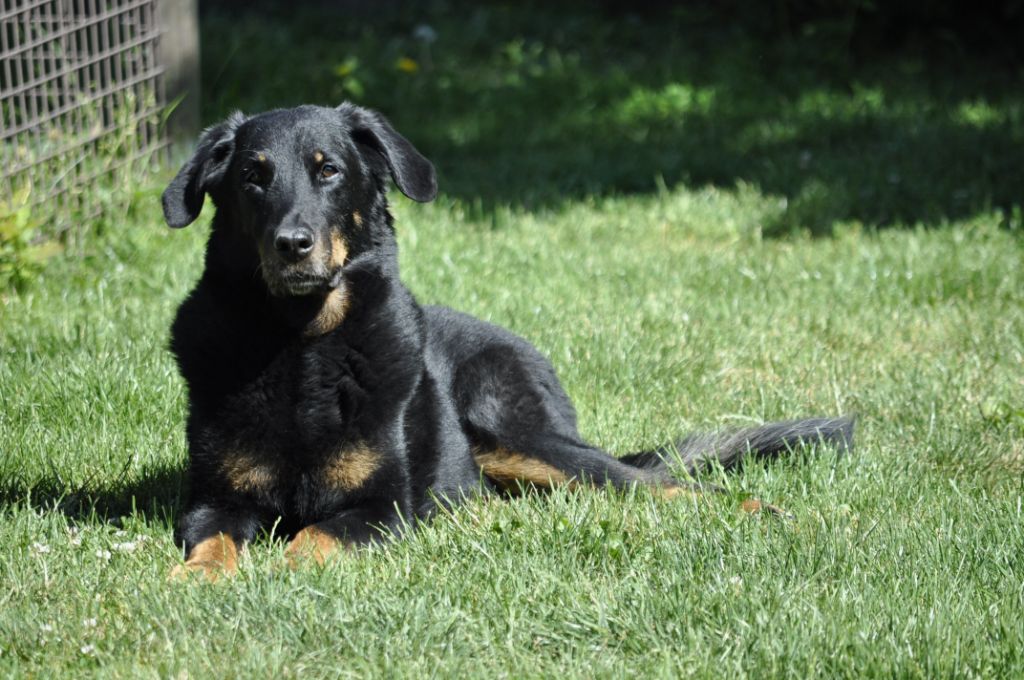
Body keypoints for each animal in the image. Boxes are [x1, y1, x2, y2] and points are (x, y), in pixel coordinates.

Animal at [159, 102, 851, 577]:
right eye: (253, 177)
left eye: (327, 171)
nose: (292, 244)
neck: (302, 345)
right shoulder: (214, 500)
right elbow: (212, 543)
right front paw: (196, 579)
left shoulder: (384, 507)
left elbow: (313, 537)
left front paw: (280, 573)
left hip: (524, 441)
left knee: (662, 484)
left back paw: (769, 514)